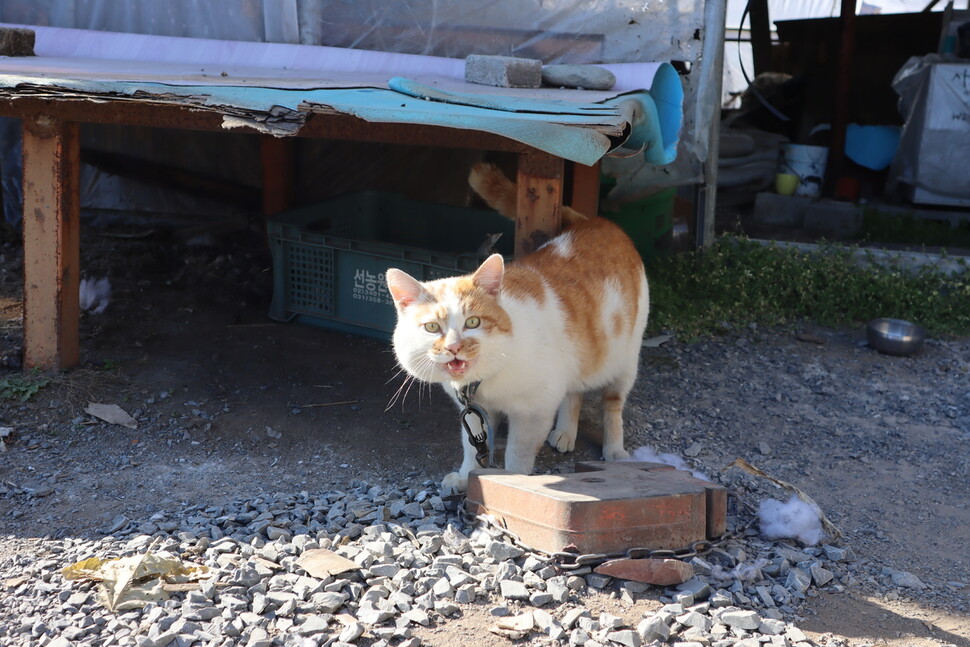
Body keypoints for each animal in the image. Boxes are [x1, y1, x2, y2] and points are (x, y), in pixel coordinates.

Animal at [382, 165, 648, 494]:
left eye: (473, 322)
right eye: (432, 327)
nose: (454, 347)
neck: (481, 384)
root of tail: (597, 222)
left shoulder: (533, 410)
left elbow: (516, 455)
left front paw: (511, 485)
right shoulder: (474, 413)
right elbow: (471, 447)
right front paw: (466, 476)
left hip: (625, 361)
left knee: (612, 406)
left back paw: (614, 451)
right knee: (574, 392)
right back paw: (565, 431)